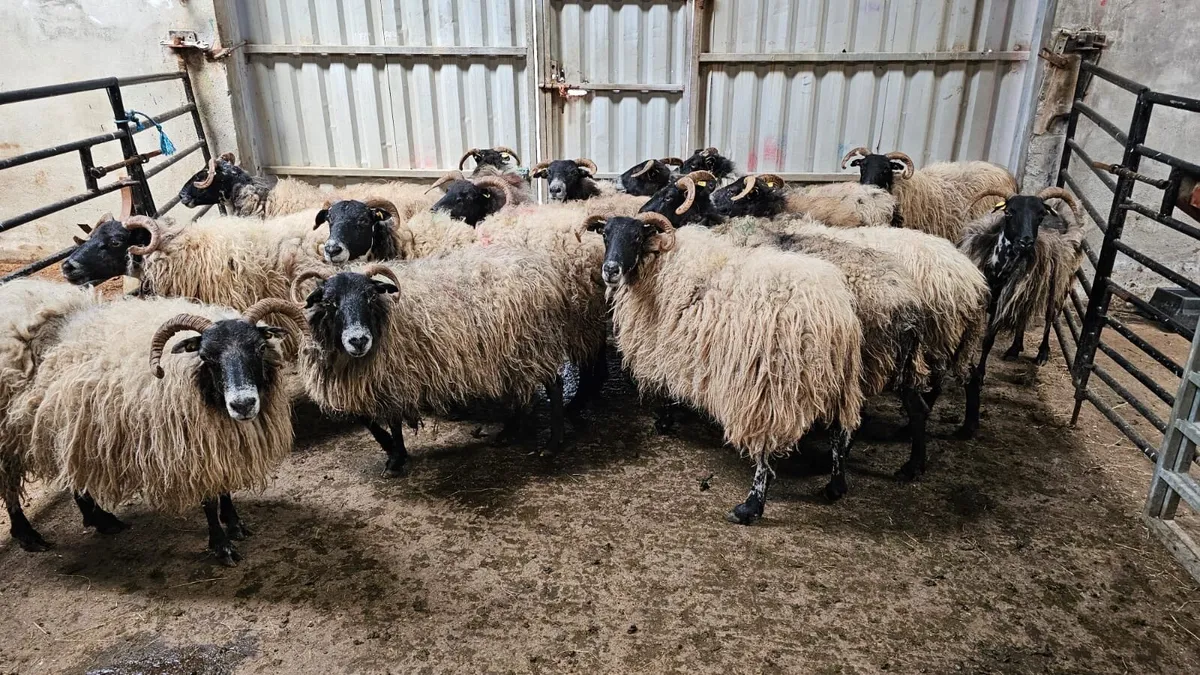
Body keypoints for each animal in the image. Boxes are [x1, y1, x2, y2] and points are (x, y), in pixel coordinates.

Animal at [9, 297, 305, 565]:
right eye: (205, 357)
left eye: (259, 348)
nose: (242, 404)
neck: (193, 380)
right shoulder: (194, 451)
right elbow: (210, 500)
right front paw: (222, 546)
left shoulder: (217, 443)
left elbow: (224, 489)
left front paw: (234, 524)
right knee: (11, 490)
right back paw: (28, 536)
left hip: (65, 432)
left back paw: (101, 520)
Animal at [294, 250, 582, 475]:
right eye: (329, 302)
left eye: (370, 297)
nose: (358, 340)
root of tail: (542, 269)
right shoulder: (366, 382)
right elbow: (368, 421)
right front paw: (391, 450)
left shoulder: (394, 375)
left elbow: (393, 420)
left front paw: (396, 458)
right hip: (516, 352)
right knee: (523, 389)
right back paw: (508, 433)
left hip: (536, 345)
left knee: (554, 386)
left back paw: (552, 444)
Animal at [593, 212, 864, 524]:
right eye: (605, 234)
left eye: (637, 236)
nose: (610, 270)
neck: (658, 263)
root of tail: (831, 314)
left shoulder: (664, 345)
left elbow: (665, 388)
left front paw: (663, 421)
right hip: (841, 382)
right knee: (839, 433)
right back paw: (836, 485)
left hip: (768, 391)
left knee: (765, 452)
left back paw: (750, 507)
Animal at [957, 187, 1084, 438]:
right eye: (1009, 212)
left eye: (1040, 214)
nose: (1026, 242)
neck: (999, 268)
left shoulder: (1000, 306)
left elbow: (988, 341)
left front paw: (981, 373)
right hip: (1026, 290)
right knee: (1024, 315)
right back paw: (1015, 347)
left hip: (1057, 286)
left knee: (1050, 317)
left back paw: (1042, 353)